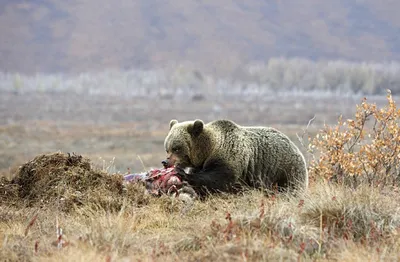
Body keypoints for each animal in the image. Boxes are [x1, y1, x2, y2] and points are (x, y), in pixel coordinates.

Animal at [162, 118, 310, 196]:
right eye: (167, 148)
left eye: (177, 148)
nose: (165, 162)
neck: (209, 150)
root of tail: (296, 149)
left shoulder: (230, 158)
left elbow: (218, 180)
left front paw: (183, 174)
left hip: (284, 171)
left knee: (290, 188)